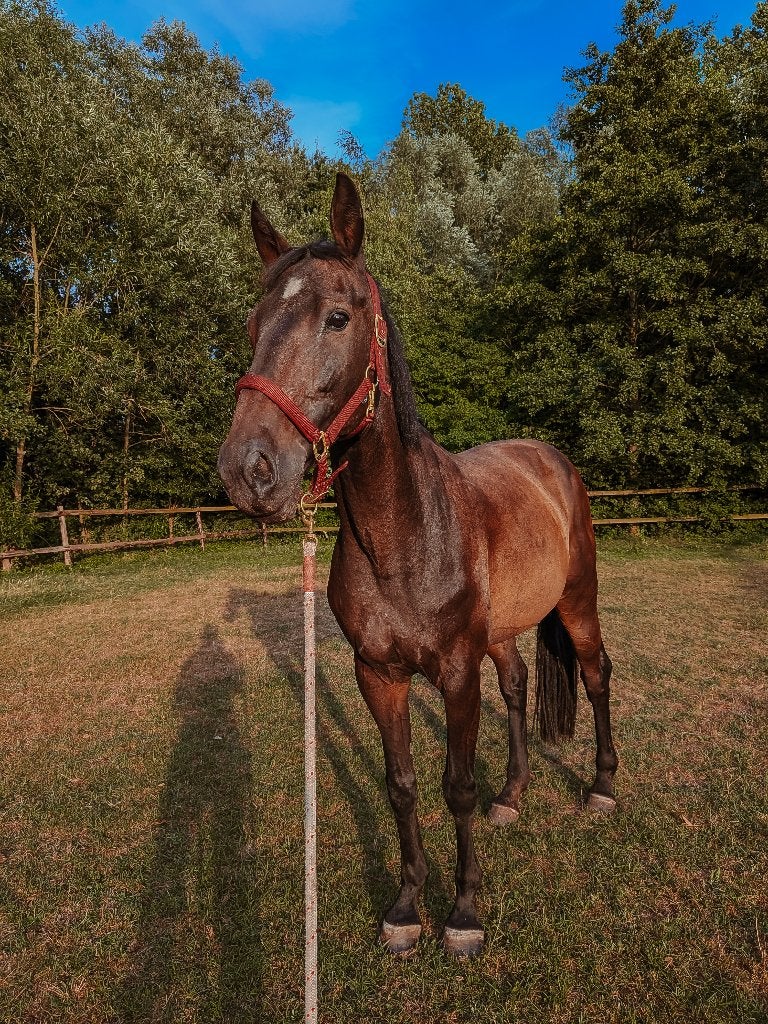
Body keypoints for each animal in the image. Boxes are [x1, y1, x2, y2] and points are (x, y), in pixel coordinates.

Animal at [218, 172, 618, 958]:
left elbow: (454, 786)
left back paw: (601, 788)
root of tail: (550, 460)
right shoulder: (379, 673)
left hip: (578, 602)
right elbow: (400, 783)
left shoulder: (457, 673)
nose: (249, 470)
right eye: (253, 326)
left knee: (595, 676)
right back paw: (512, 796)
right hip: (503, 630)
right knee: (519, 686)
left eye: (338, 318)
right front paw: (407, 906)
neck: (403, 538)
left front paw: (463, 913)